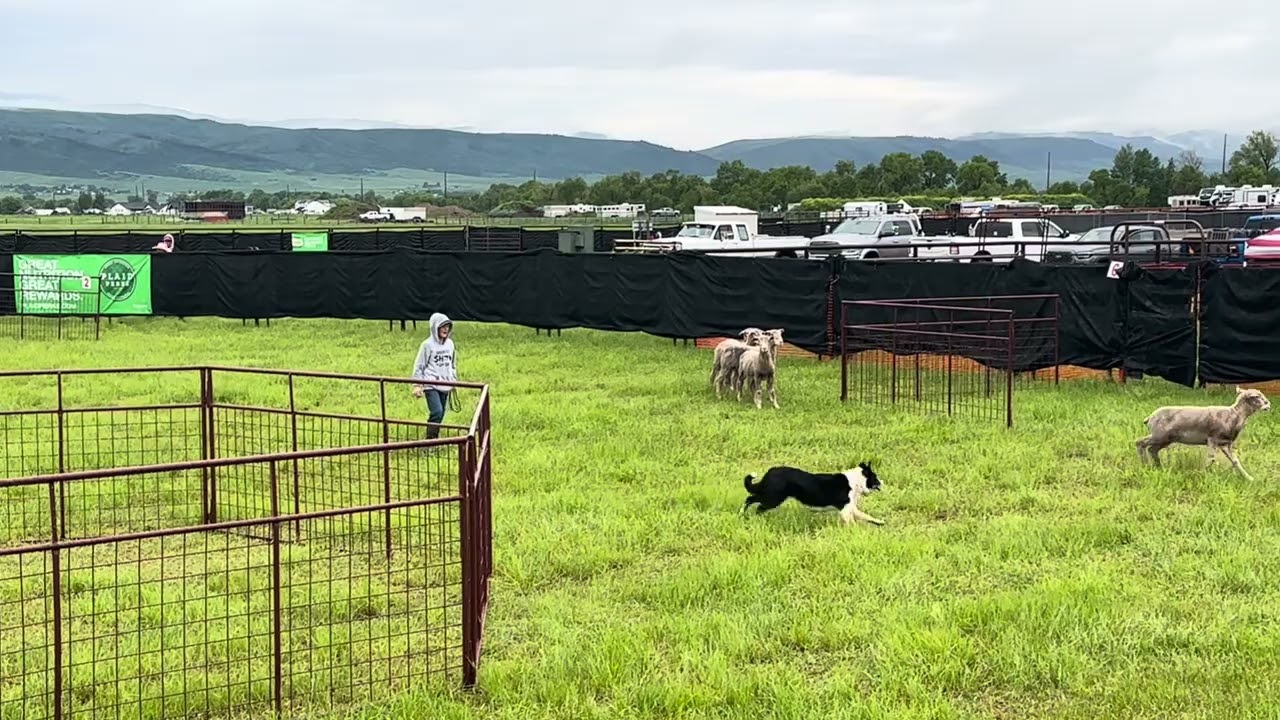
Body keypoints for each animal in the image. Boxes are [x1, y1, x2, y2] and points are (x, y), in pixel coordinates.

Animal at [1135, 386, 1271, 480]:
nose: (1268, 405)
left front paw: (1249, 478)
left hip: (1165, 439)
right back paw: (1144, 465)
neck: (1235, 415)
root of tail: (1149, 418)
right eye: (1256, 397)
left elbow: (1235, 461)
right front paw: (1201, 474)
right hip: (1159, 435)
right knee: (1140, 442)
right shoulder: (1212, 439)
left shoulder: (1225, 443)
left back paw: (1158, 467)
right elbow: (1211, 459)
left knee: (1152, 450)